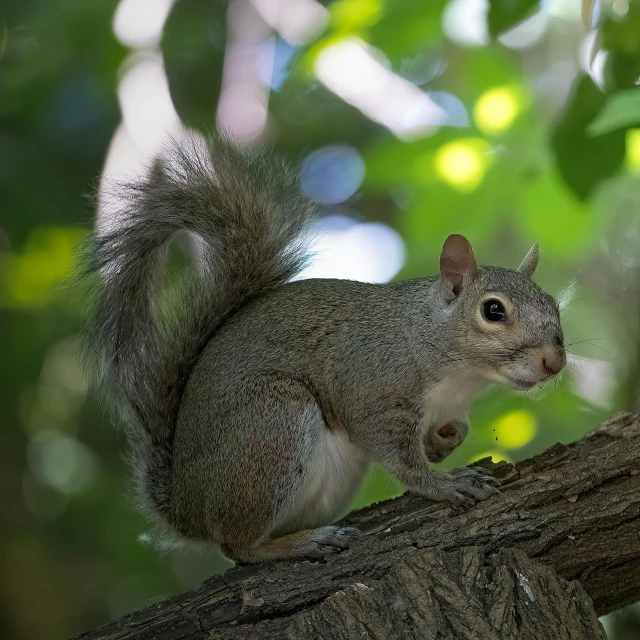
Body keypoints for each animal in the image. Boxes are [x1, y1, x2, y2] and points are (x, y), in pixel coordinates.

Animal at [84, 136, 564, 564]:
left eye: (553, 304)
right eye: (493, 310)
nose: (555, 361)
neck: (456, 372)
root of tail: (186, 507)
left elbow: (452, 432)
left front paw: (443, 442)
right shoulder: (372, 387)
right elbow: (399, 458)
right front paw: (444, 484)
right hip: (269, 426)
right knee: (237, 547)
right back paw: (299, 544)